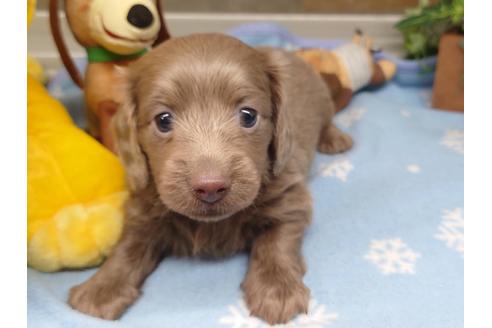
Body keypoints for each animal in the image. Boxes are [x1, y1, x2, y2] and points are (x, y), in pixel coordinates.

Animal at [69, 32, 354, 324]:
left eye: (248, 115)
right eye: (163, 120)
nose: (210, 187)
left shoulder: (289, 197)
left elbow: (276, 243)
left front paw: (277, 290)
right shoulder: (144, 205)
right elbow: (128, 246)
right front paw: (100, 289)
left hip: (322, 100)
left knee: (328, 119)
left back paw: (335, 139)